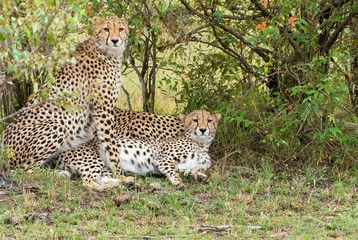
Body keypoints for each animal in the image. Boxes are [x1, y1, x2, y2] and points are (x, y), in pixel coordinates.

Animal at [3, 15, 129, 183]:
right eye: (106, 29)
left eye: (121, 29)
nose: (115, 40)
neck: (107, 53)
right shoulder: (103, 110)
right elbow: (111, 144)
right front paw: (120, 175)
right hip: (56, 126)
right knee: (24, 170)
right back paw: (59, 174)